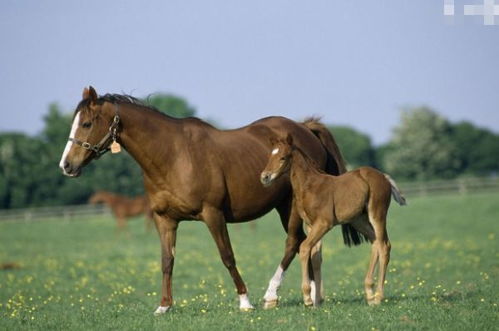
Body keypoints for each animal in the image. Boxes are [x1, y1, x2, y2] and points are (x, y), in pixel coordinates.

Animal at [262, 135, 406, 306]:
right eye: (270, 156)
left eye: (283, 157)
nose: (264, 177)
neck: (310, 186)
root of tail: (384, 176)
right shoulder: (311, 225)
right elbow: (315, 256)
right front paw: (317, 301)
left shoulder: (324, 223)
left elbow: (304, 248)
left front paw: (308, 298)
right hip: (359, 220)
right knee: (376, 242)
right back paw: (369, 294)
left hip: (377, 214)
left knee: (384, 245)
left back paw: (378, 297)